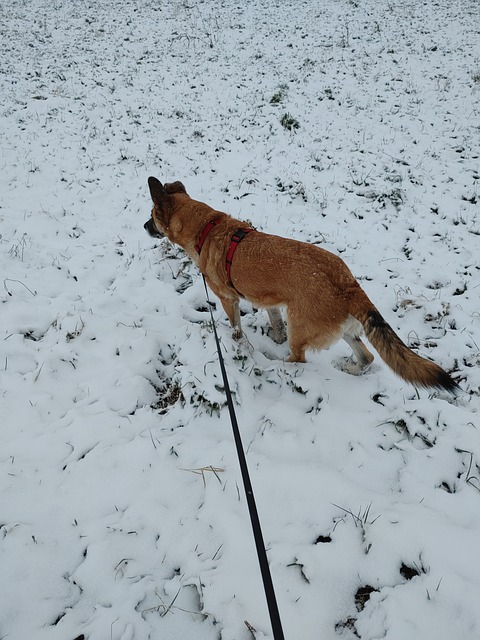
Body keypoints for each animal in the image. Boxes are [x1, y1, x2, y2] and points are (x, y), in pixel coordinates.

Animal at [145, 178, 458, 392]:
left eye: (152, 216)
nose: (145, 227)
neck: (207, 228)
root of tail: (348, 283)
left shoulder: (228, 300)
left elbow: (236, 329)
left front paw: (239, 344)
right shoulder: (270, 302)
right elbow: (274, 321)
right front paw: (274, 335)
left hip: (301, 325)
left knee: (298, 358)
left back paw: (274, 363)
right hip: (342, 328)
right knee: (367, 356)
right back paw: (349, 368)